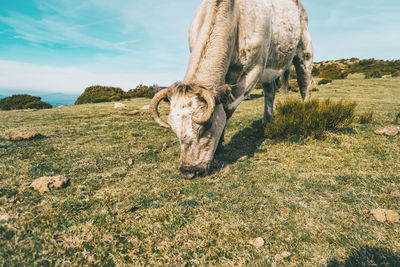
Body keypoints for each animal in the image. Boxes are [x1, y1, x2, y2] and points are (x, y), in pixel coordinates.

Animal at [150, 0, 312, 180]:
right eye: (174, 129)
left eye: (207, 126)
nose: (188, 171)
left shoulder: (255, 69)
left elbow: (227, 108)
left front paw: (219, 144)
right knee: (270, 92)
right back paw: (266, 122)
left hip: (305, 51)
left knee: (305, 84)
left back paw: (306, 112)